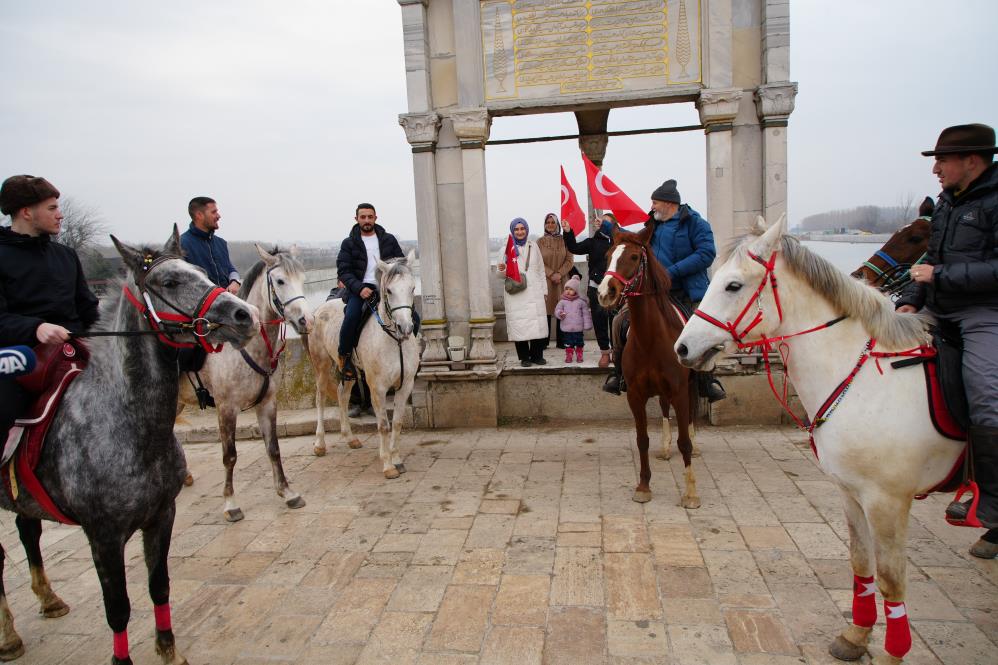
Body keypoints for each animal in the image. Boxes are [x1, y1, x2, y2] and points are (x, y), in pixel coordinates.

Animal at [0, 228, 258, 664]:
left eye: (202, 273)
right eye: (168, 282)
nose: (245, 315)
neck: (129, 424)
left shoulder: (161, 516)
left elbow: (160, 585)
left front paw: (169, 649)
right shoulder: (103, 535)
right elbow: (118, 607)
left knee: (28, 529)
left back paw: (49, 599)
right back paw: (8, 635)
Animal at [178, 246, 312, 520]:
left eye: (303, 279)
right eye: (280, 281)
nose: (306, 320)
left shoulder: (267, 403)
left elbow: (273, 448)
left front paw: (287, 493)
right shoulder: (226, 408)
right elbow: (229, 455)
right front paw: (230, 503)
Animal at [306, 250, 420, 478]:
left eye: (412, 288)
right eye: (389, 290)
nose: (405, 328)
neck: (395, 341)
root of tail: (319, 309)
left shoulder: (406, 384)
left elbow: (398, 422)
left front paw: (396, 458)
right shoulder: (378, 387)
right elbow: (384, 425)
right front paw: (388, 465)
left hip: (348, 369)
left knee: (342, 394)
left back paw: (350, 438)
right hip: (321, 365)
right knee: (320, 398)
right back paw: (320, 444)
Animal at [596, 226, 700, 506]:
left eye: (633, 257)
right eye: (608, 255)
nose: (605, 292)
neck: (650, 338)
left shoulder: (679, 390)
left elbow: (684, 441)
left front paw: (691, 492)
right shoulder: (635, 393)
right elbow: (642, 439)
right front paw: (643, 486)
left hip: (690, 384)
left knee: (692, 413)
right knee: (664, 409)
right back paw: (664, 448)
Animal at [676, 215, 964, 660]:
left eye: (733, 285)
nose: (684, 347)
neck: (861, 379)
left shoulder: (888, 500)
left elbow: (891, 579)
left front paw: (892, 652)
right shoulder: (851, 491)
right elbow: (860, 561)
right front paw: (856, 634)